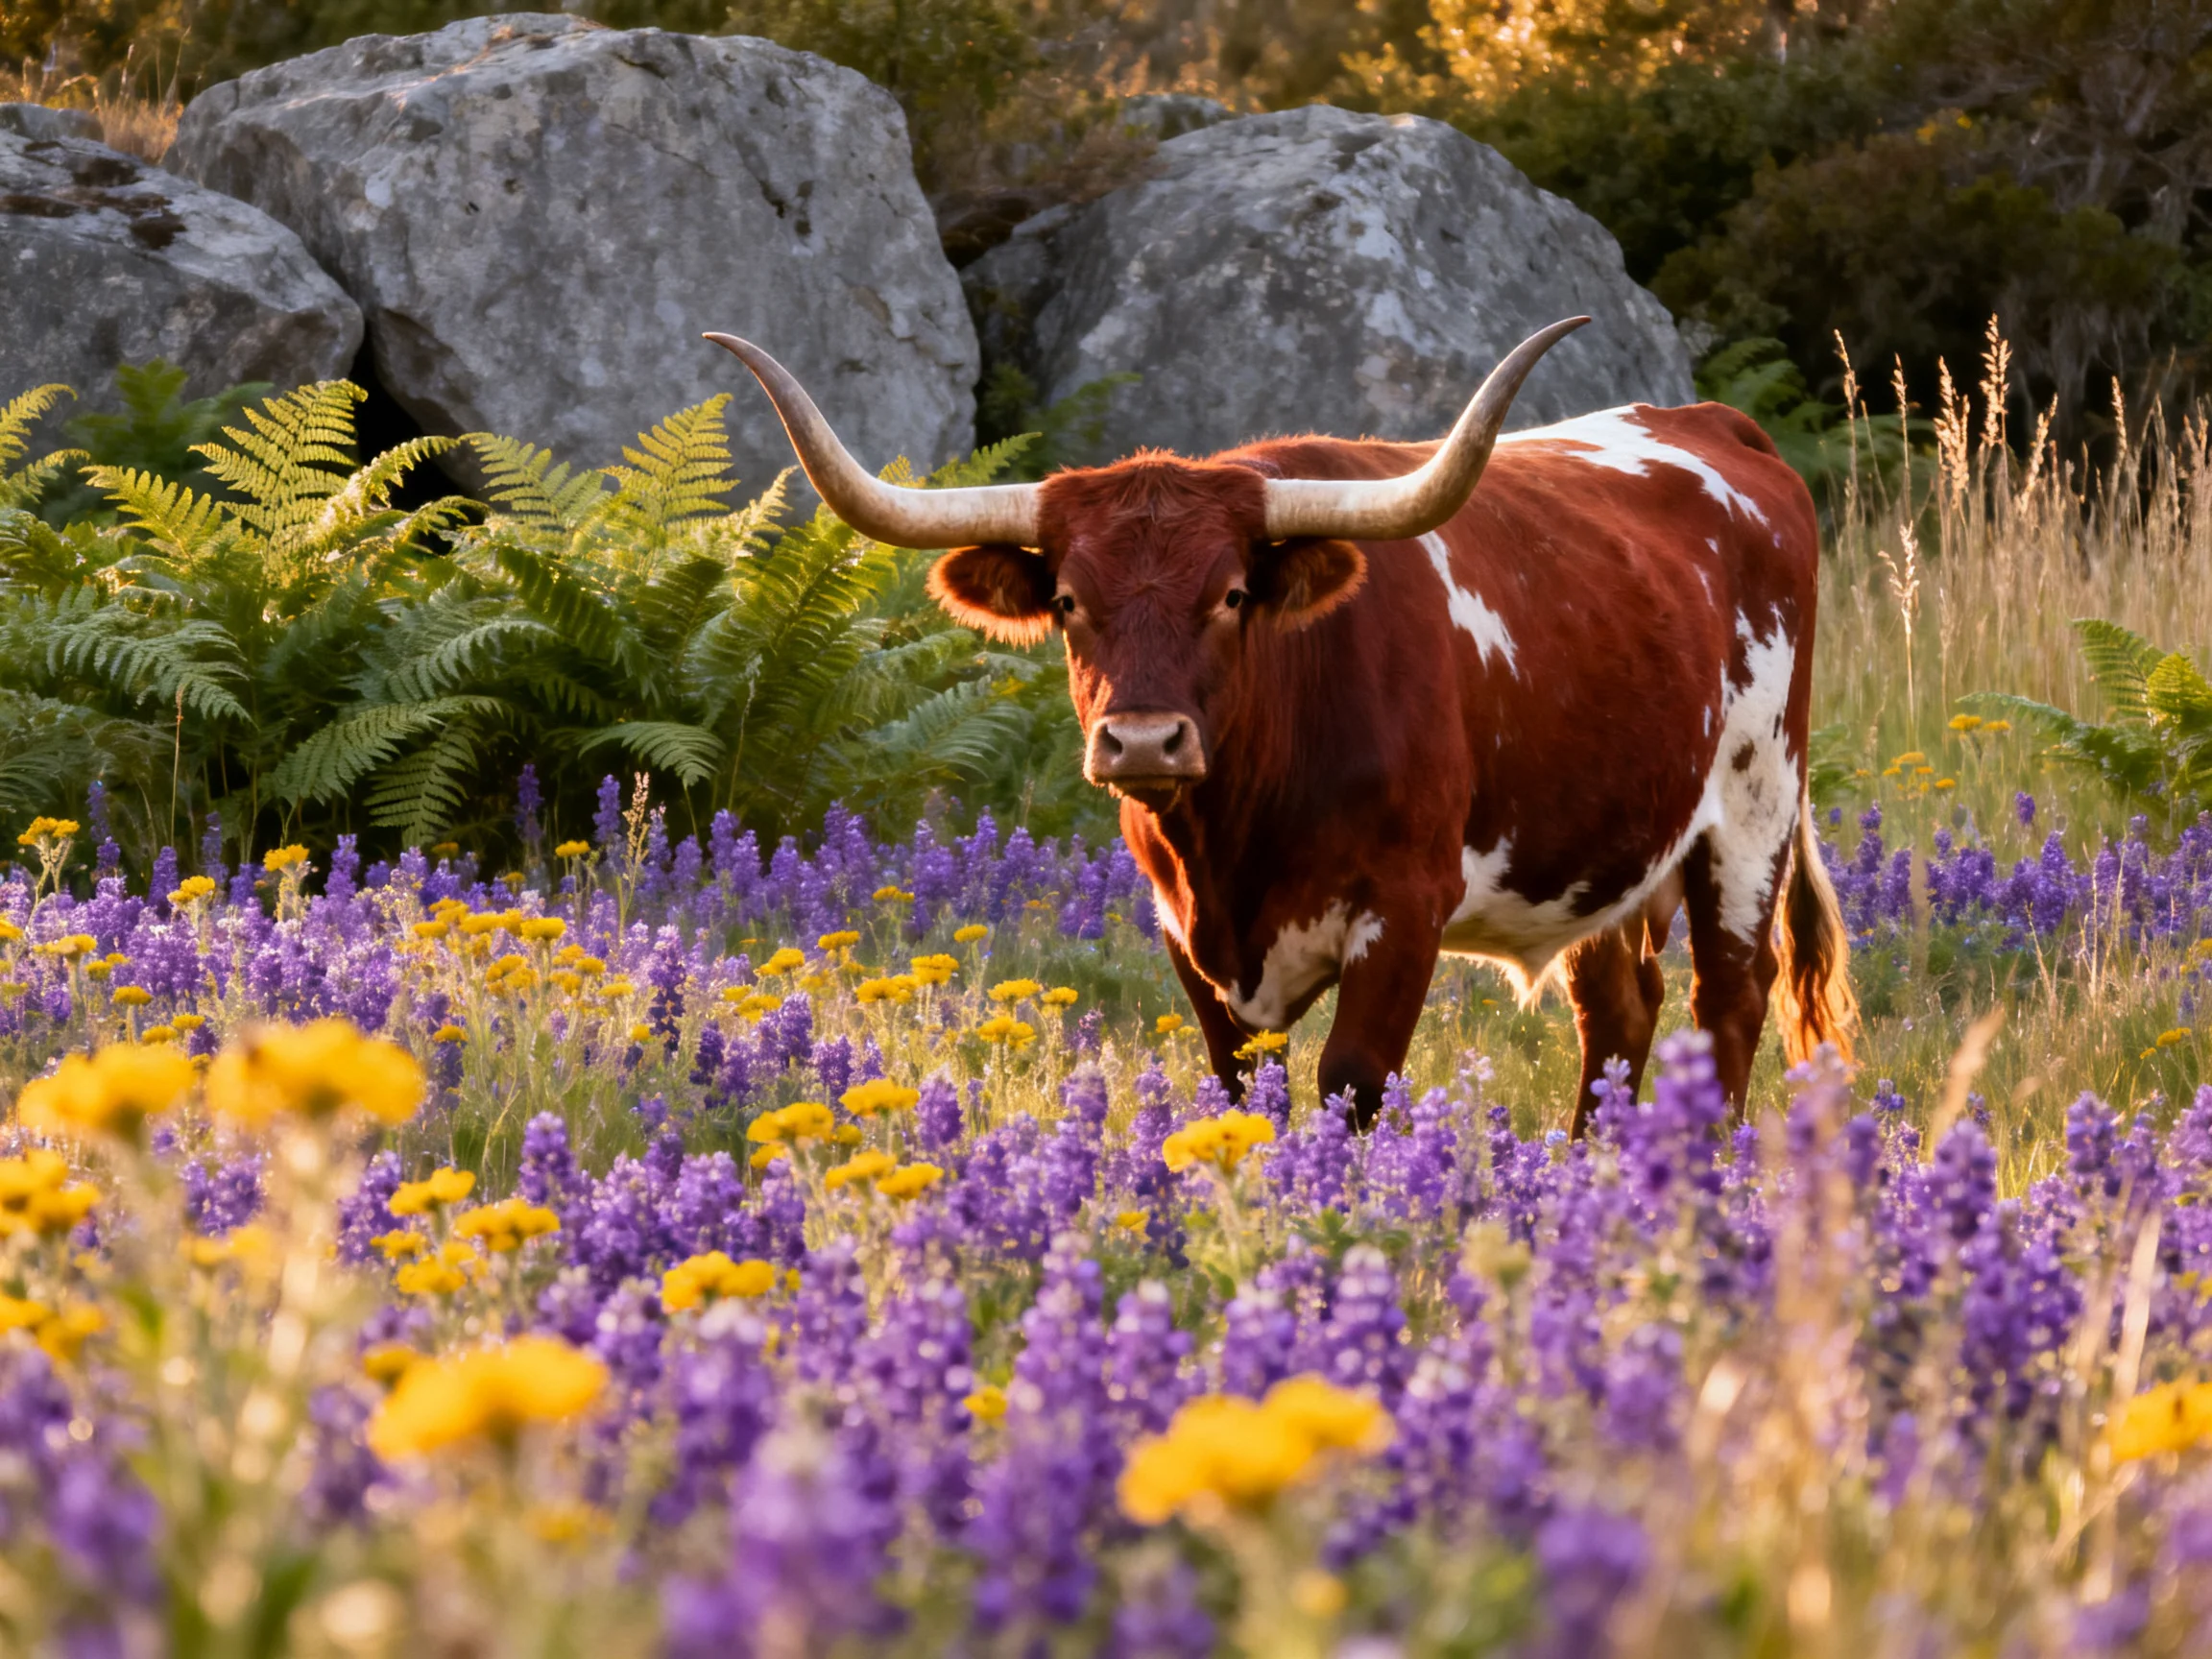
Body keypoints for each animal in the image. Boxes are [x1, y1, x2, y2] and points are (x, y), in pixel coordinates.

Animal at [707, 320, 1855, 1131]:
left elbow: (1350, 1085)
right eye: (1070, 601)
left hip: (1752, 810)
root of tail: (1718, 424)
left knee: (1729, 1001)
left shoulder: (1405, 909)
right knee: (1617, 1014)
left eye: (1229, 596)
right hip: (1603, 855)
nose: (1143, 742)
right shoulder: (1184, 931)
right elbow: (1239, 1088)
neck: (1234, 841)